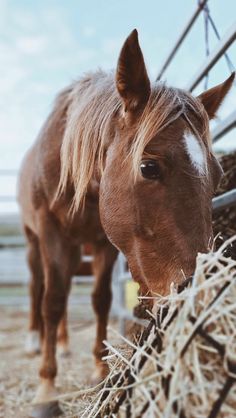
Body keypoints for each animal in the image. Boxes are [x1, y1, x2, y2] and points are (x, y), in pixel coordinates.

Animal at [18, 30, 234, 418]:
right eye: (148, 166)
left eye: (217, 174)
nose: (194, 292)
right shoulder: (51, 230)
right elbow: (52, 301)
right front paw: (46, 389)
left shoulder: (104, 242)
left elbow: (101, 300)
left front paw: (99, 368)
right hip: (34, 242)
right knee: (39, 289)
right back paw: (34, 341)